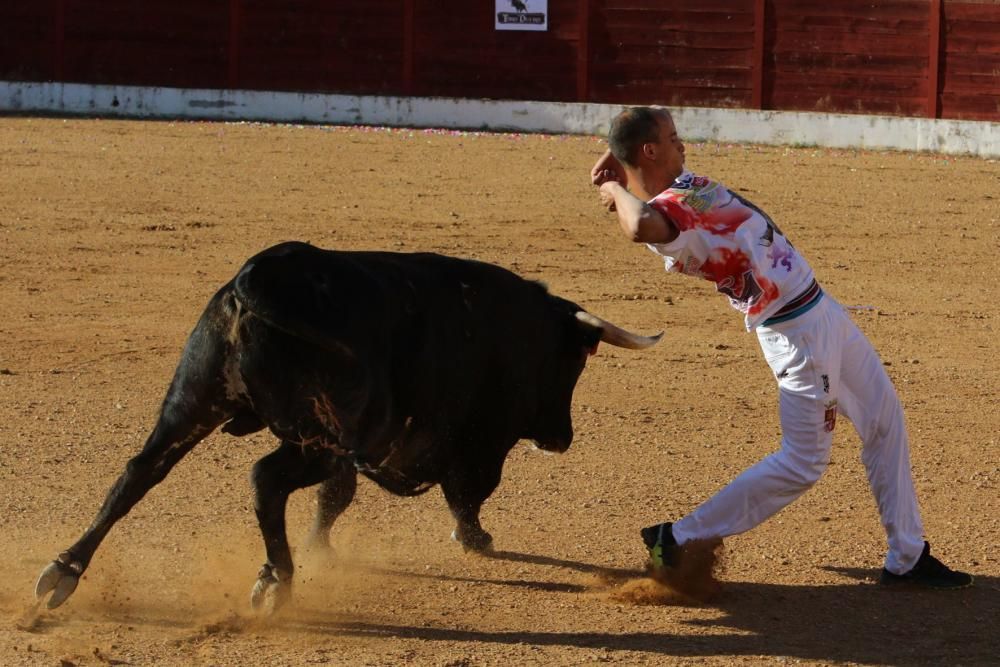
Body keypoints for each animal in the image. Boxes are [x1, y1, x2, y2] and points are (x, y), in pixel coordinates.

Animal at [35, 243, 660, 612]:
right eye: (575, 362)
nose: (561, 437)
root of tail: (257, 280)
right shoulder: (473, 440)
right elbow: (467, 492)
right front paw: (475, 539)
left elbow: (336, 498)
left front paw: (321, 547)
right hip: (320, 434)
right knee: (264, 479)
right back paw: (277, 581)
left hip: (192, 403)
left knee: (140, 472)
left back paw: (63, 571)